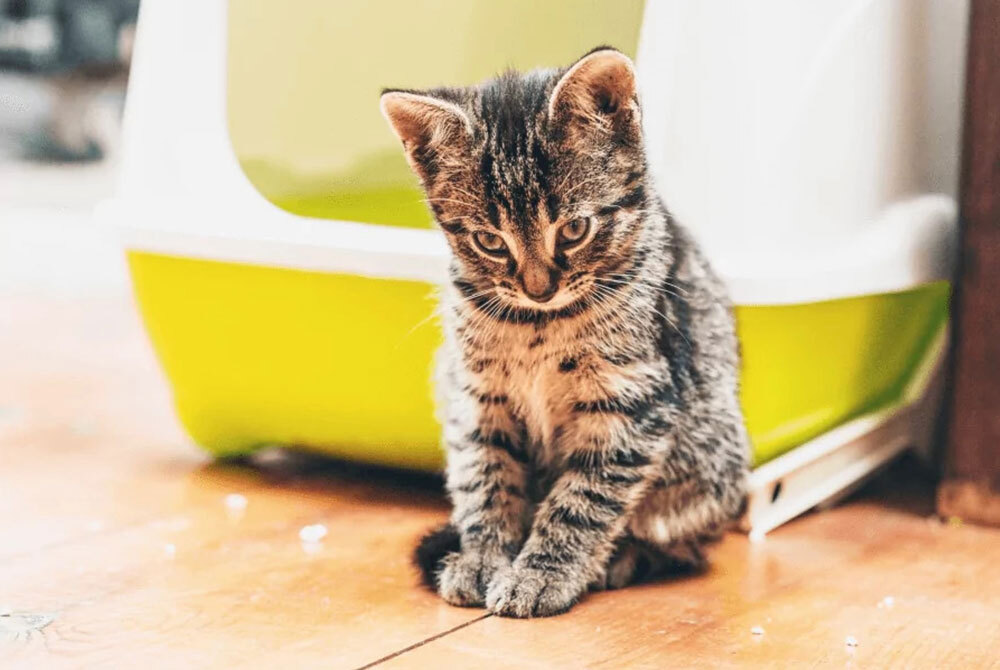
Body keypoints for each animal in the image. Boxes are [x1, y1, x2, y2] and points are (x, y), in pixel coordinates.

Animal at [382, 47, 752, 620]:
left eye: (574, 230)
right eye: (490, 241)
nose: (539, 288)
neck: (537, 325)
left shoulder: (632, 400)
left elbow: (583, 499)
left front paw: (542, 574)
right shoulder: (476, 397)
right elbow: (486, 478)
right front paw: (483, 558)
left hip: (713, 460)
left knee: (684, 544)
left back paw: (623, 559)